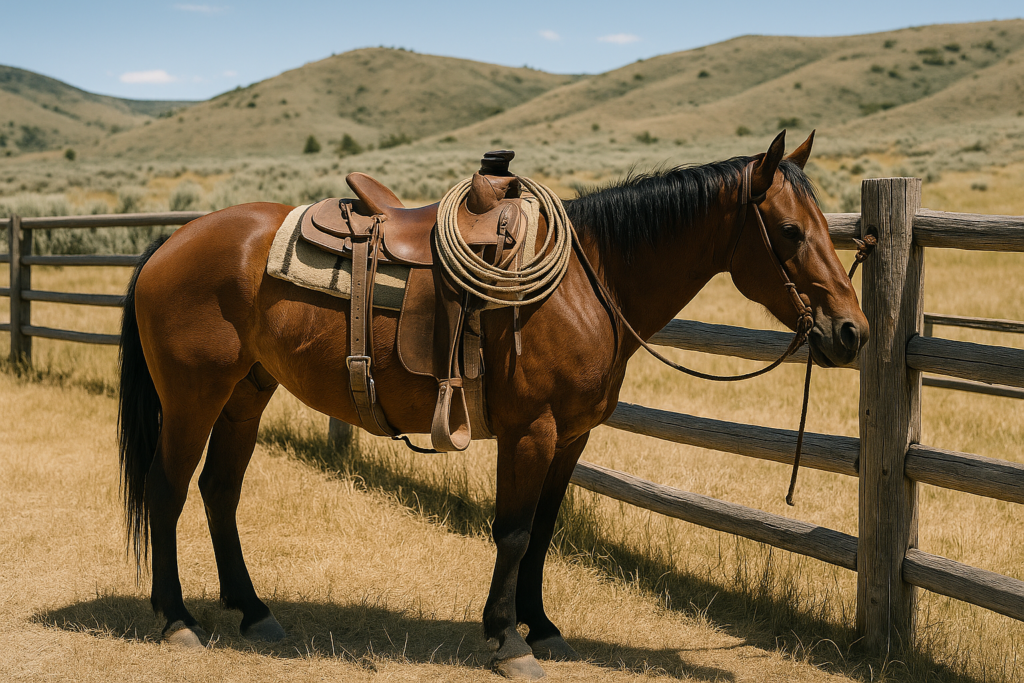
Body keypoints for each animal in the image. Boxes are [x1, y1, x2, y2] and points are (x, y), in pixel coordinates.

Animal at [118, 130, 867, 679]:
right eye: (791, 232)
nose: (851, 331)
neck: (587, 281)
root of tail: (171, 240)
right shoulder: (530, 432)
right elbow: (512, 530)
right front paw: (509, 641)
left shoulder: (572, 436)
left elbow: (544, 529)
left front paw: (543, 627)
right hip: (192, 398)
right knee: (167, 489)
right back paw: (177, 618)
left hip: (244, 395)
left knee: (220, 490)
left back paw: (252, 610)